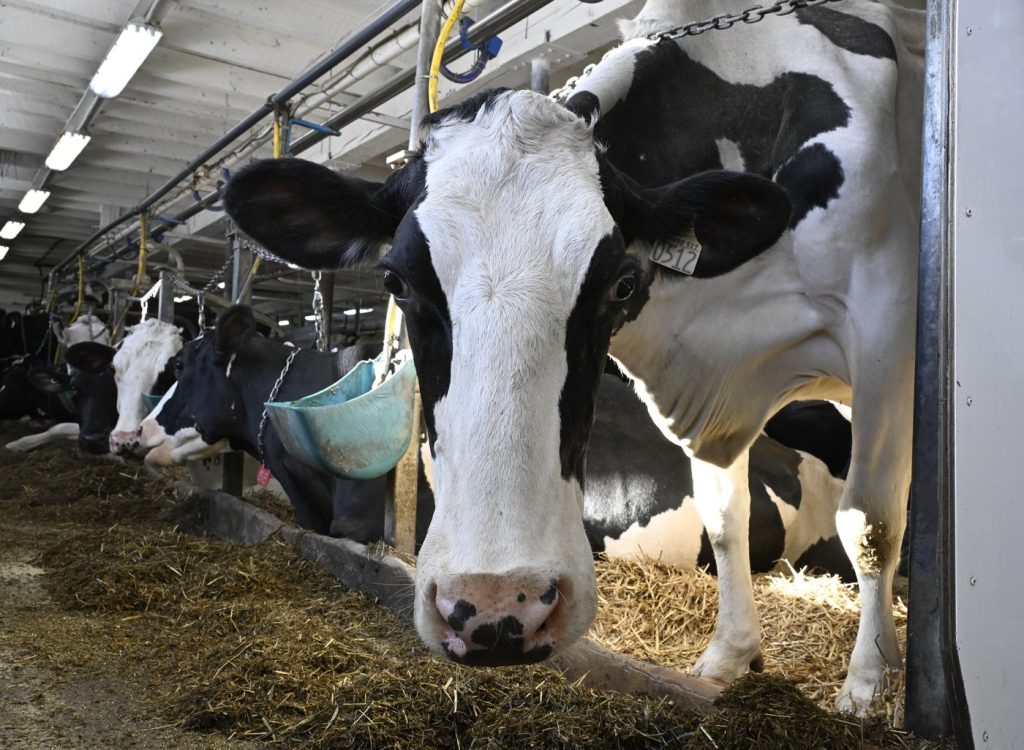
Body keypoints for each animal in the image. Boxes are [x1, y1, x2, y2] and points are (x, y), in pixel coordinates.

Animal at [226, 1, 929, 713]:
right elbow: (727, 520)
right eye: (396, 280)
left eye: (620, 283)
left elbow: (869, 522)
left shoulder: (883, 327)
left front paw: (869, 683)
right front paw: (727, 657)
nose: (497, 606)